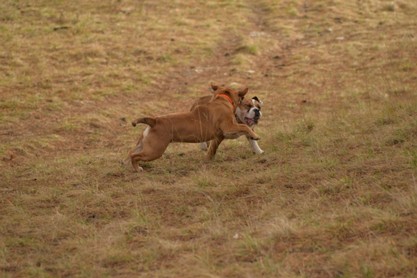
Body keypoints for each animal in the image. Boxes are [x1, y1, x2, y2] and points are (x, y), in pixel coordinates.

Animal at [128, 84, 258, 172]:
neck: (222, 99)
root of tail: (154, 121)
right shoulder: (229, 127)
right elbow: (244, 126)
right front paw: (254, 135)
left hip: (145, 146)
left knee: (131, 153)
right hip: (154, 151)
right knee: (135, 156)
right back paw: (137, 168)